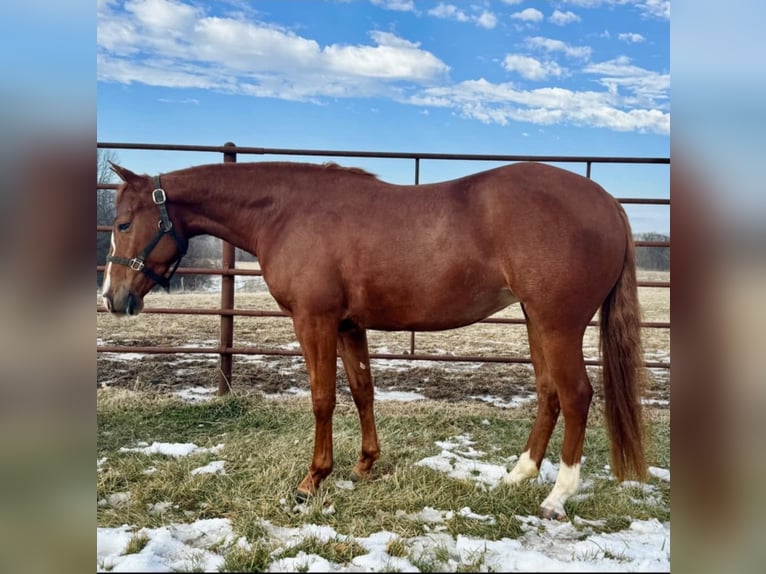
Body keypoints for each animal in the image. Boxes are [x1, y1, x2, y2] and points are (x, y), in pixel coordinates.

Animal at [102, 159, 648, 520]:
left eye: (124, 223)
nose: (113, 298)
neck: (287, 212)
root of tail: (607, 203)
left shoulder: (315, 321)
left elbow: (323, 398)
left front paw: (311, 481)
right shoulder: (348, 325)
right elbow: (362, 391)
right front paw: (364, 464)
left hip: (559, 324)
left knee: (576, 396)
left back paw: (558, 496)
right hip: (536, 322)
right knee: (548, 394)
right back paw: (518, 475)